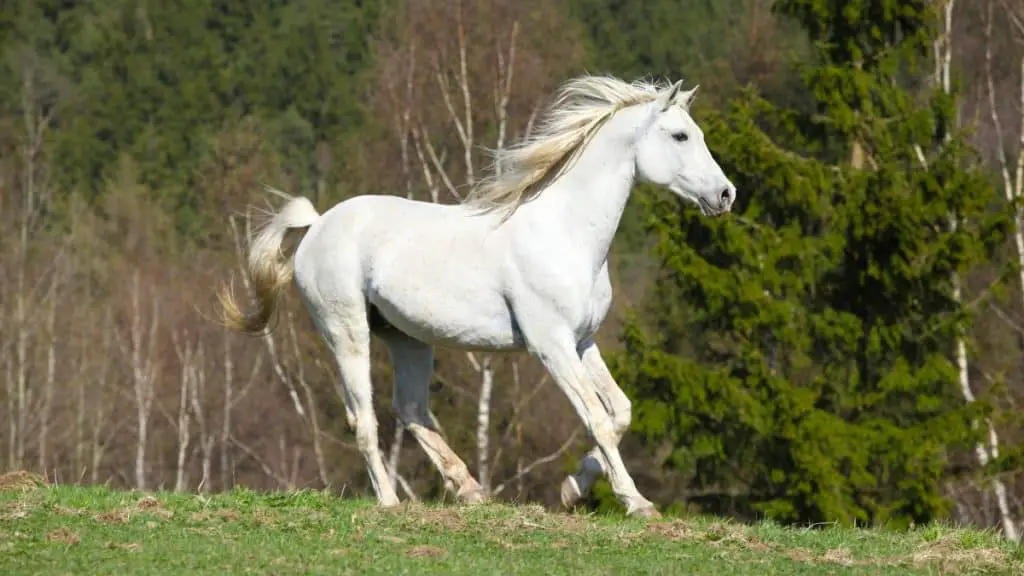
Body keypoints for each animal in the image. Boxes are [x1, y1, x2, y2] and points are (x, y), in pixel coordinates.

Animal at [220, 72, 737, 516]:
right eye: (680, 136)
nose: (727, 195)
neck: (566, 233)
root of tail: (318, 224)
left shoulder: (582, 341)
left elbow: (620, 413)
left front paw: (572, 489)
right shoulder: (551, 345)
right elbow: (595, 417)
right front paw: (637, 503)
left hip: (408, 340)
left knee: (410, 409)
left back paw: (470, 490)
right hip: (347, 333)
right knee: (365, 421)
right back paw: (391, 502)